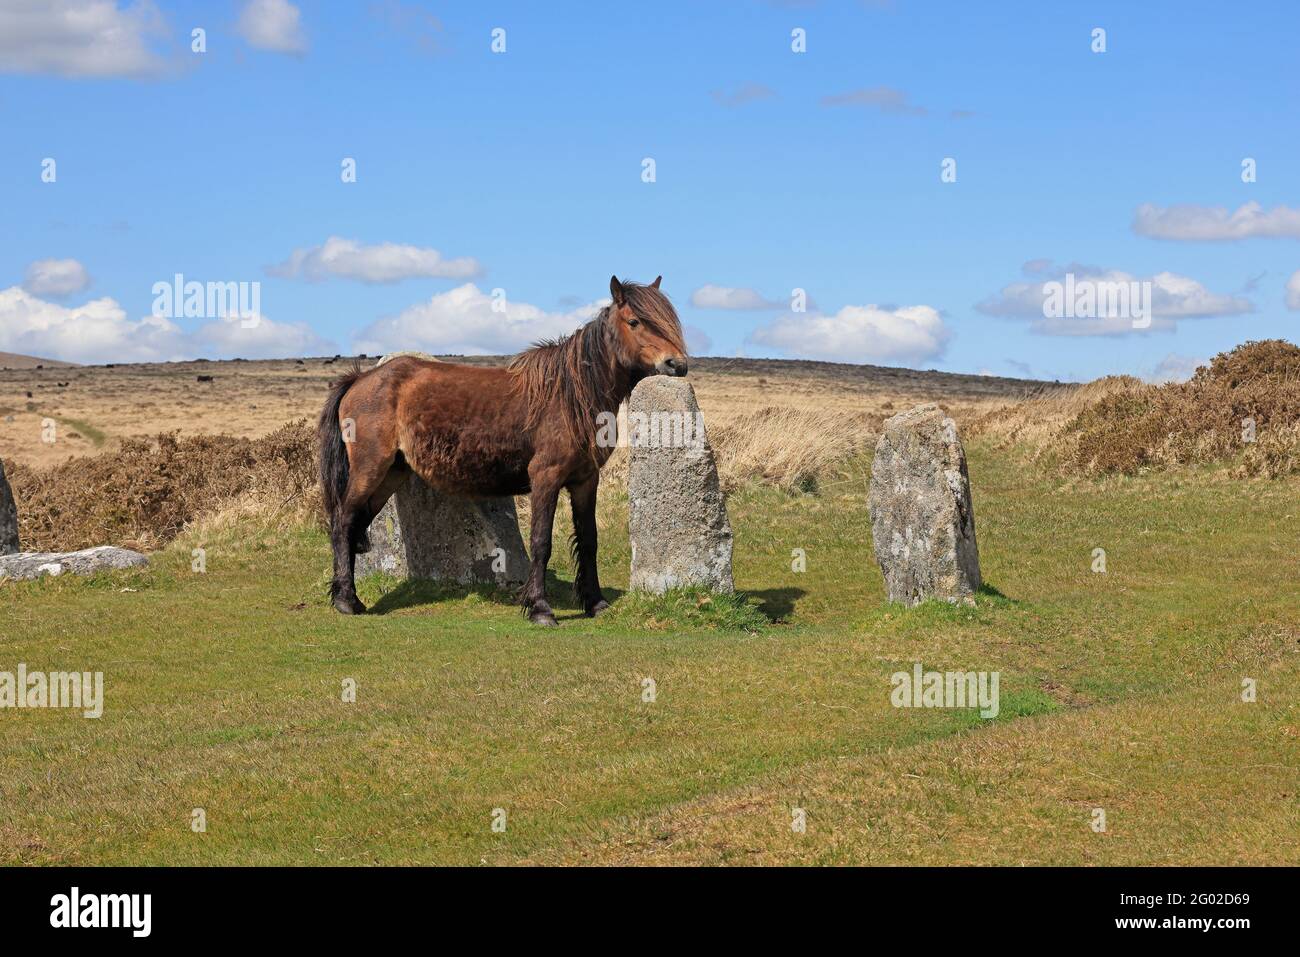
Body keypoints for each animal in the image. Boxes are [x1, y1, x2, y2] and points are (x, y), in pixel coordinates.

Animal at [318, 276, 689, 625]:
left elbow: (588, 540)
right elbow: (541, 541)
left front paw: (595, 603)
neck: (571, 394)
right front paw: (540, 608)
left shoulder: (585, 480)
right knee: (343, 520)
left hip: (391, 473)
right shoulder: (546, 478)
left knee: (356, 522)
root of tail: (360, 380)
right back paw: (347, 600)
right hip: (370, 468)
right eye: (634, 321)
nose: (677, 364)